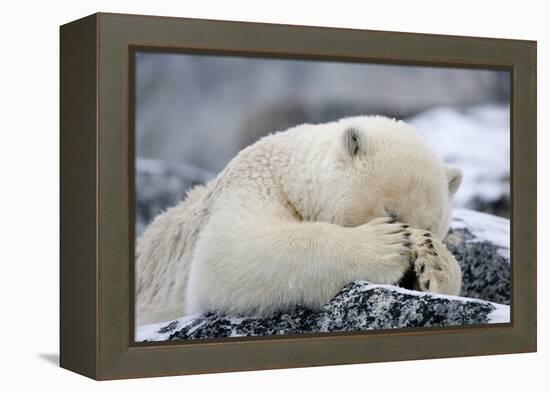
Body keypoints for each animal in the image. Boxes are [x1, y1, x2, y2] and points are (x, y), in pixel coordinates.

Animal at [136, 115, 464, 324]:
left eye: (431, 227)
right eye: (391, 213)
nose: (409, 276)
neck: (285, 170)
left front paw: (435, 262)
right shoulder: (251, 184)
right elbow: (227, 255)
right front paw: (385, 244)